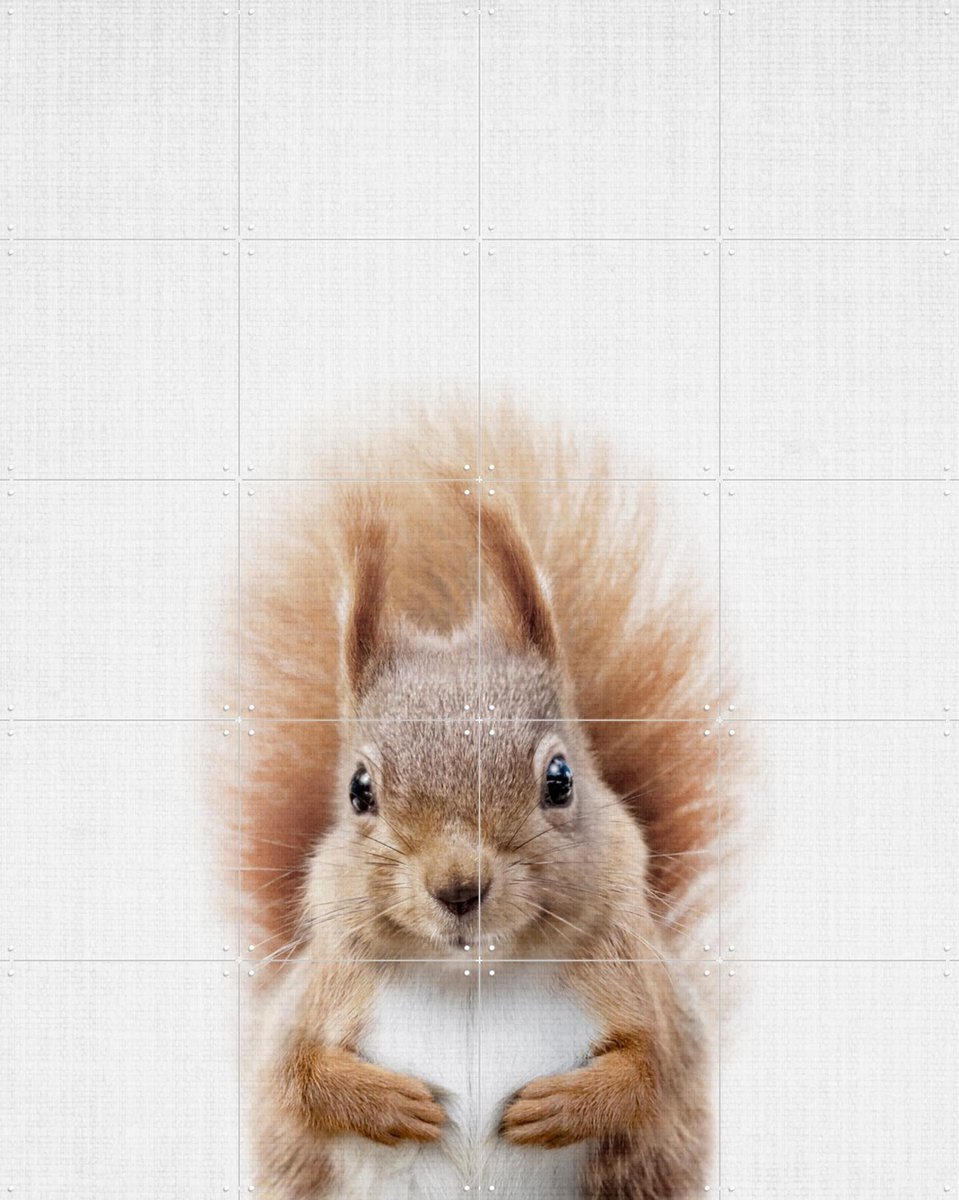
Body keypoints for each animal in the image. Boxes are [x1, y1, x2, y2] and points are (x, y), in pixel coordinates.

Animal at [225, 405, 734, 1200]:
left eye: (560, 779)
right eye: (359, 791)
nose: (459, 888)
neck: (473, 980)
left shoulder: (650, 995)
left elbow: (656, 1069)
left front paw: (564, 1103)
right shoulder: (315, 1001)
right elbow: (294, 1076)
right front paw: (389, 1101)